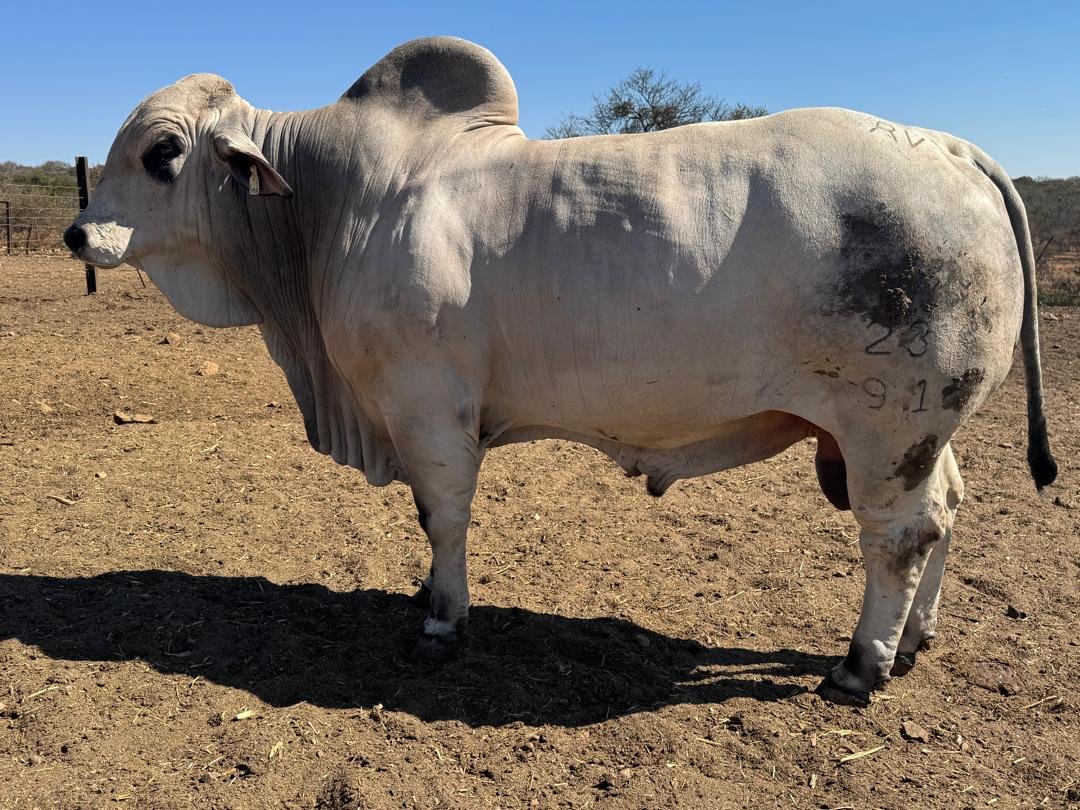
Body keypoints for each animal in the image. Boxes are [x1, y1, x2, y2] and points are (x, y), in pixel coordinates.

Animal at [65, 37, 1056, 706]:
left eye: (162, 153)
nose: (78, 233)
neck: (332, 206)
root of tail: (954, 148)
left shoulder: (427, 408)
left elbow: (442, 517)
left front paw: (440, 620)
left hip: (887, 429)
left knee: (899, 538)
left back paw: (862, 666)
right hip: (922, 430)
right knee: (947, 512)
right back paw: (916, 641)